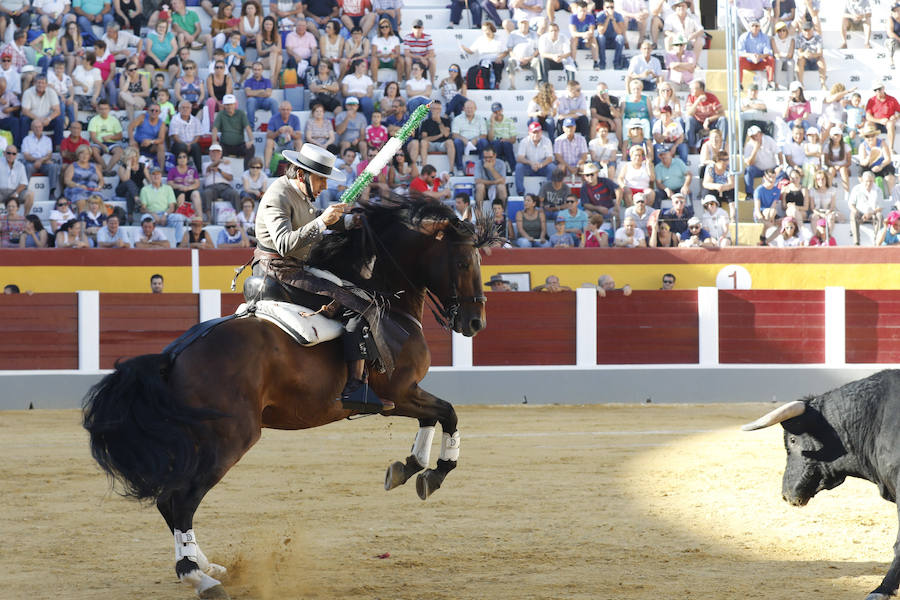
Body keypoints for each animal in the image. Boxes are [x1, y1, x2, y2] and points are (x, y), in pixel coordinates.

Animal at [83, 199, 492, 596]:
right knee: (180, 500)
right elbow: (448, 412)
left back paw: (207, 565)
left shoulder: (405, 396)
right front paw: (434, 472)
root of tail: (173, 356)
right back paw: (200, 578)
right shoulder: (399, 393)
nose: (475, 323)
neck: (389, 304)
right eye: (463, 261)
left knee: (169, 500)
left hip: (195, 441)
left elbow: (434, 416)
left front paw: (409, 467)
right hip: (231, 440)